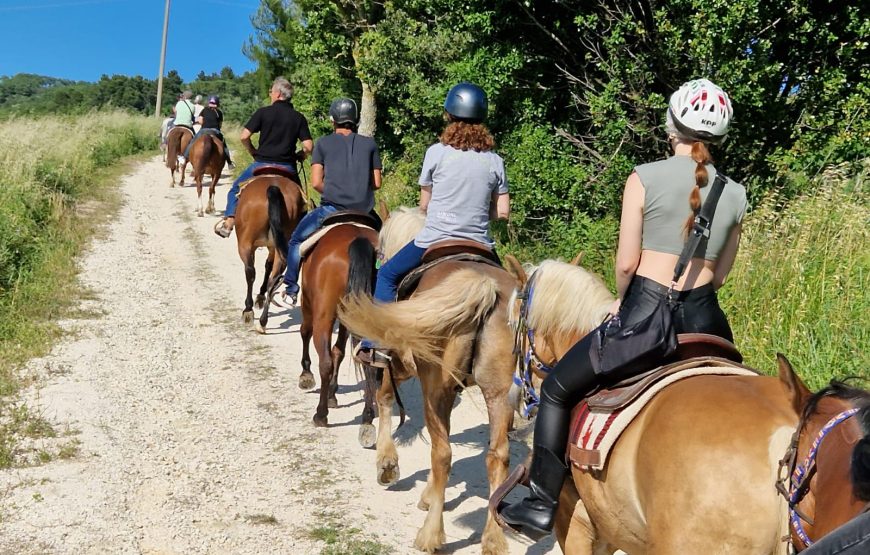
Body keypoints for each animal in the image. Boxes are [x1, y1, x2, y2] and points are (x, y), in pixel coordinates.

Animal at [233, 168, 308, 330]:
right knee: (274, 276)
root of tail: (273, 188)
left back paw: (248, 310)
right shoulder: (274, 246)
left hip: (245, 244)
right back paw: (263, 321)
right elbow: (268, 266)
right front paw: (261, 296)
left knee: (250, 272)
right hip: (283, 242)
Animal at [338, 208, 516, 555]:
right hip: (498, 392)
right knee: (497, 456)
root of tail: (483, 286)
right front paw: (429, 494)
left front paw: (387, 465)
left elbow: (384, 399)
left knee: (442, 452)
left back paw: (430, 534)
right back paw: (492, 539)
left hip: (435, 387)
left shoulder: (396, 364)